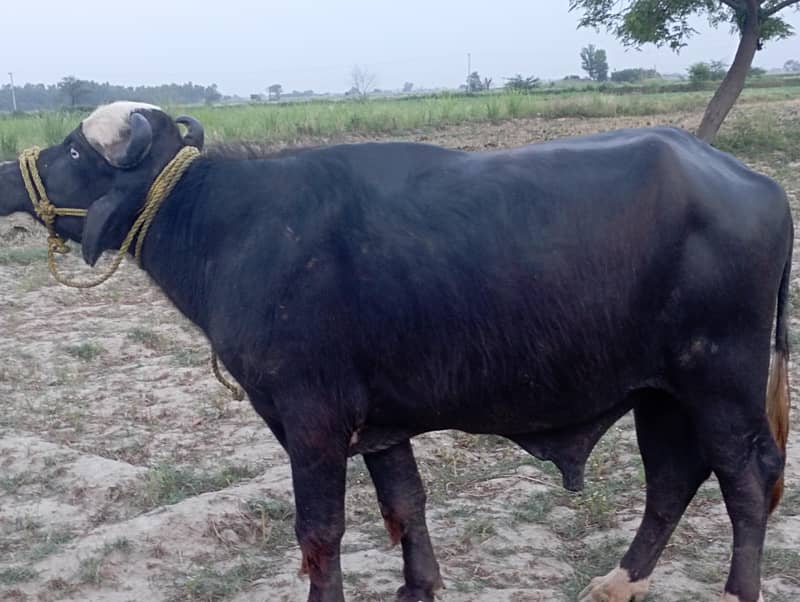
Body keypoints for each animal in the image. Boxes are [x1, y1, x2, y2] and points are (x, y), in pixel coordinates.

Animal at [0, 102, 792, 602]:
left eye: (76, 149)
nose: (11, 172)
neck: (235, 229)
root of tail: (757, 184)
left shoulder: (311, 419)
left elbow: (320, 532)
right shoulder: (380, 423)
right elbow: (406, 502)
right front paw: (418, 585)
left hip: (721, 380)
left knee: (747, 480)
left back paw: (734, 592)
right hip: (661, 393)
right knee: (673, 479)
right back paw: (621, 581)